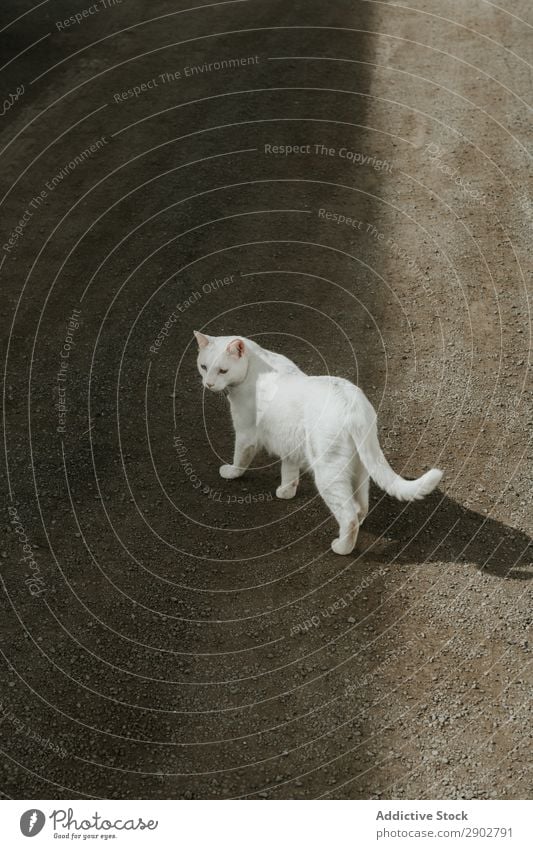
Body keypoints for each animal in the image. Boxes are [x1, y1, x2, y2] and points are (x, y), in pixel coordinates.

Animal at [191, 332, 440, 556]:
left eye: (222, 370)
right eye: (203, 366)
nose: (208, 384)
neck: (256, 365)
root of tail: (353, 403)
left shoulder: (245, 433)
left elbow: (239, 459)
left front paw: (231, 473)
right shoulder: (288, 441)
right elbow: (289, 471)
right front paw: (286, 491)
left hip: (328, 473)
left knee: (349, 515)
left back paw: (342, 547)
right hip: (360, 467)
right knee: (361, 505)